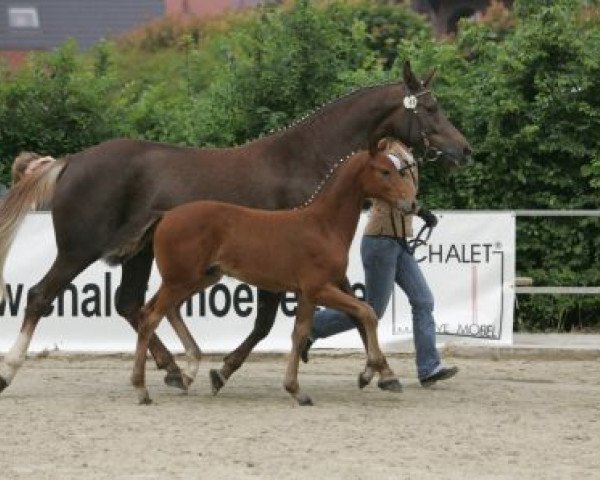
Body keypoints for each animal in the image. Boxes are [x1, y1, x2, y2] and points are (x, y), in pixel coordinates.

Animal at [131, 143, 418, 404]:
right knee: (150, 319)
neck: (323, 226)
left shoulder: (306, 294)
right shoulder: (318, 289)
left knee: (164, 310)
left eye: (398, 169)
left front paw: (297, 389)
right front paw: (371, 371)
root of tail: (166, 216)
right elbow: (365, 312)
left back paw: (187, 372)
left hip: (199, 278)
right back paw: (142, 389)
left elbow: (301, 332)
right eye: (385, 171)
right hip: (179, 280)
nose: (412, 203)